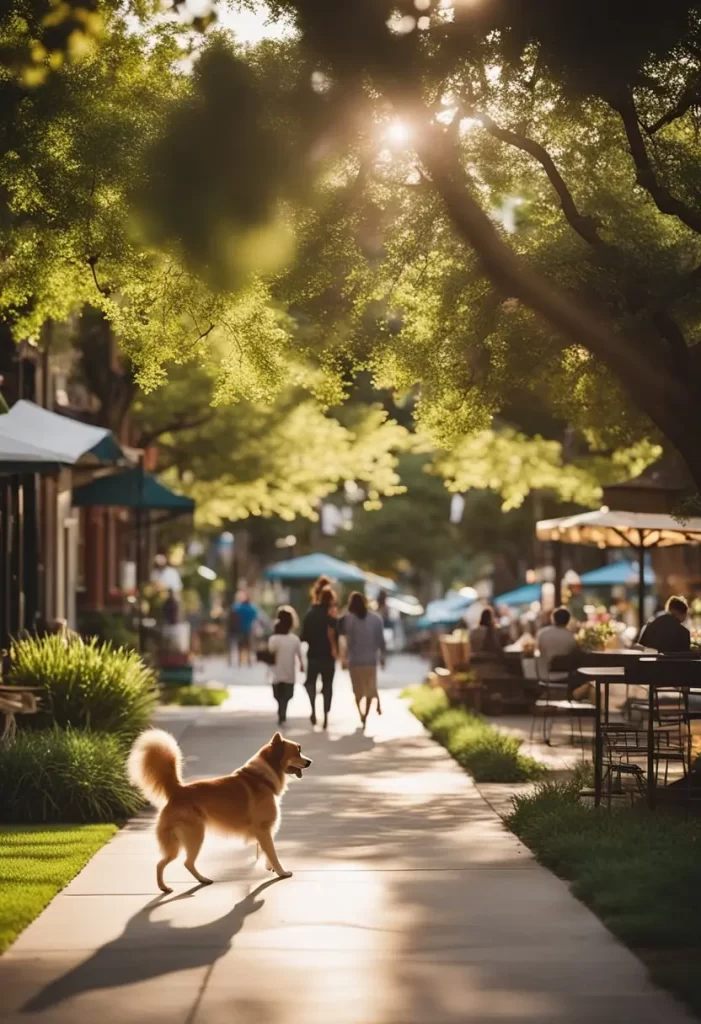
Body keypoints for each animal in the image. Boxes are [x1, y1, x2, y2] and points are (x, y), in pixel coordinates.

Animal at [126, 733, 311, 892]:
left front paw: (269, 868)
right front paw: (281, 872)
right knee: (183, 862)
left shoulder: (265, 832)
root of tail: (178, 791)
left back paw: (179, 884)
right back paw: (193, 881)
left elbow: (267, 853)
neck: (262, 778)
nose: (310, 762)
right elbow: (273, 854)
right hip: (194, 837)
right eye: (298, 750)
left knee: (164, 863)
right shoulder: (263, 830)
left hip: (177, 842)